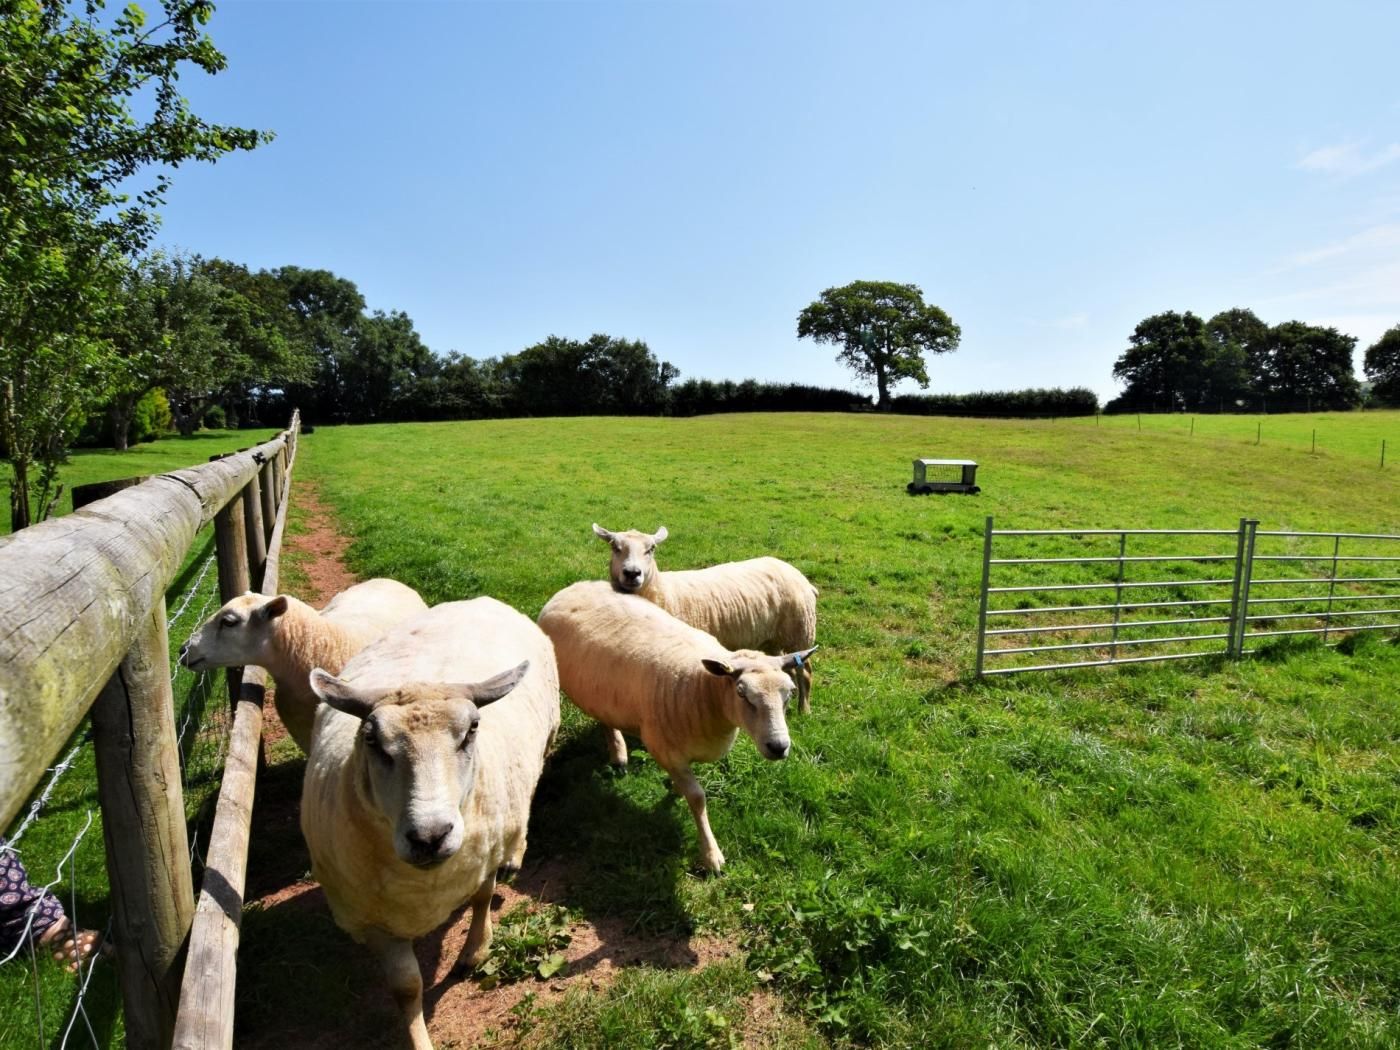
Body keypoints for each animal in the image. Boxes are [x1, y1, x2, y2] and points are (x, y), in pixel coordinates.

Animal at [302, 597, 560, 1050]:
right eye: (371, 740)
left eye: (472, 730)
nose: (429, 836)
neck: (424, 885)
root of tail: (482, 599)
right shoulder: (373, 919)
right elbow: (406, 987)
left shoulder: (483, 854)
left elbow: (481, 899)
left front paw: (474, 951)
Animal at [538, 580, 815, 873]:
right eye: (742, 693)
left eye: (790, 692)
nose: (779, 746)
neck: (702, 687)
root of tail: (573, 587)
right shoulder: (665, 749)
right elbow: (697, 798)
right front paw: (711, 855)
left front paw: (674, 787)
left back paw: (618, 752)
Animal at [591, 523, 818, 712]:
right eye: (614, 547)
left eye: (651, 549)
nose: (632, 573)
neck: (662, 592)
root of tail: (796, 573)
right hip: (772, 638)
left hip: (800, 630)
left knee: (805, 672)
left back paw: (804, 711)